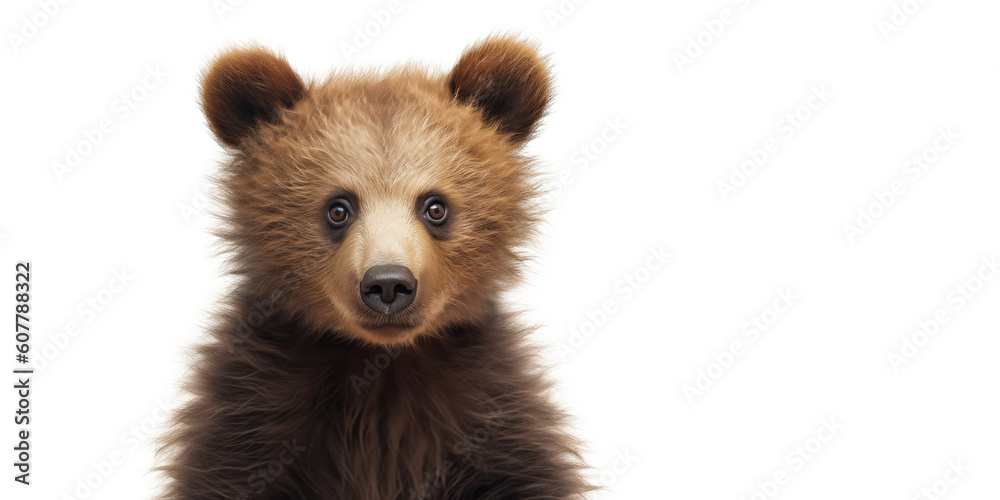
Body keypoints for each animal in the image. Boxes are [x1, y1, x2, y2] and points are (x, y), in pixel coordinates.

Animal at [157, 36, 592, 499]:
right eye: (338, 208)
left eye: (435, 206)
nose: (387, 285)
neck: (382, 362)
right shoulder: (253, 417)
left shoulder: (489, 420)